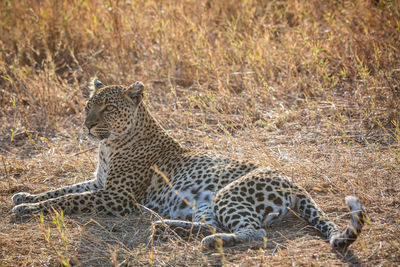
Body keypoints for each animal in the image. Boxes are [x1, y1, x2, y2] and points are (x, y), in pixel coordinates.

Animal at [12, 79, 368, 251]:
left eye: (107, 108)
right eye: (88, 105)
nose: (87, 126)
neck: (108, 146)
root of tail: (293, 183)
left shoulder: (118, 196)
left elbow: (67, 199)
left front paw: (27, 209)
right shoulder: (100, 183)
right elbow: (60, 189)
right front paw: (24, 197)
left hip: (228, 194)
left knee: (255, 233)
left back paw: (211, 242)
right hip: (205, 203)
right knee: (210, 224)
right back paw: (164, 226)